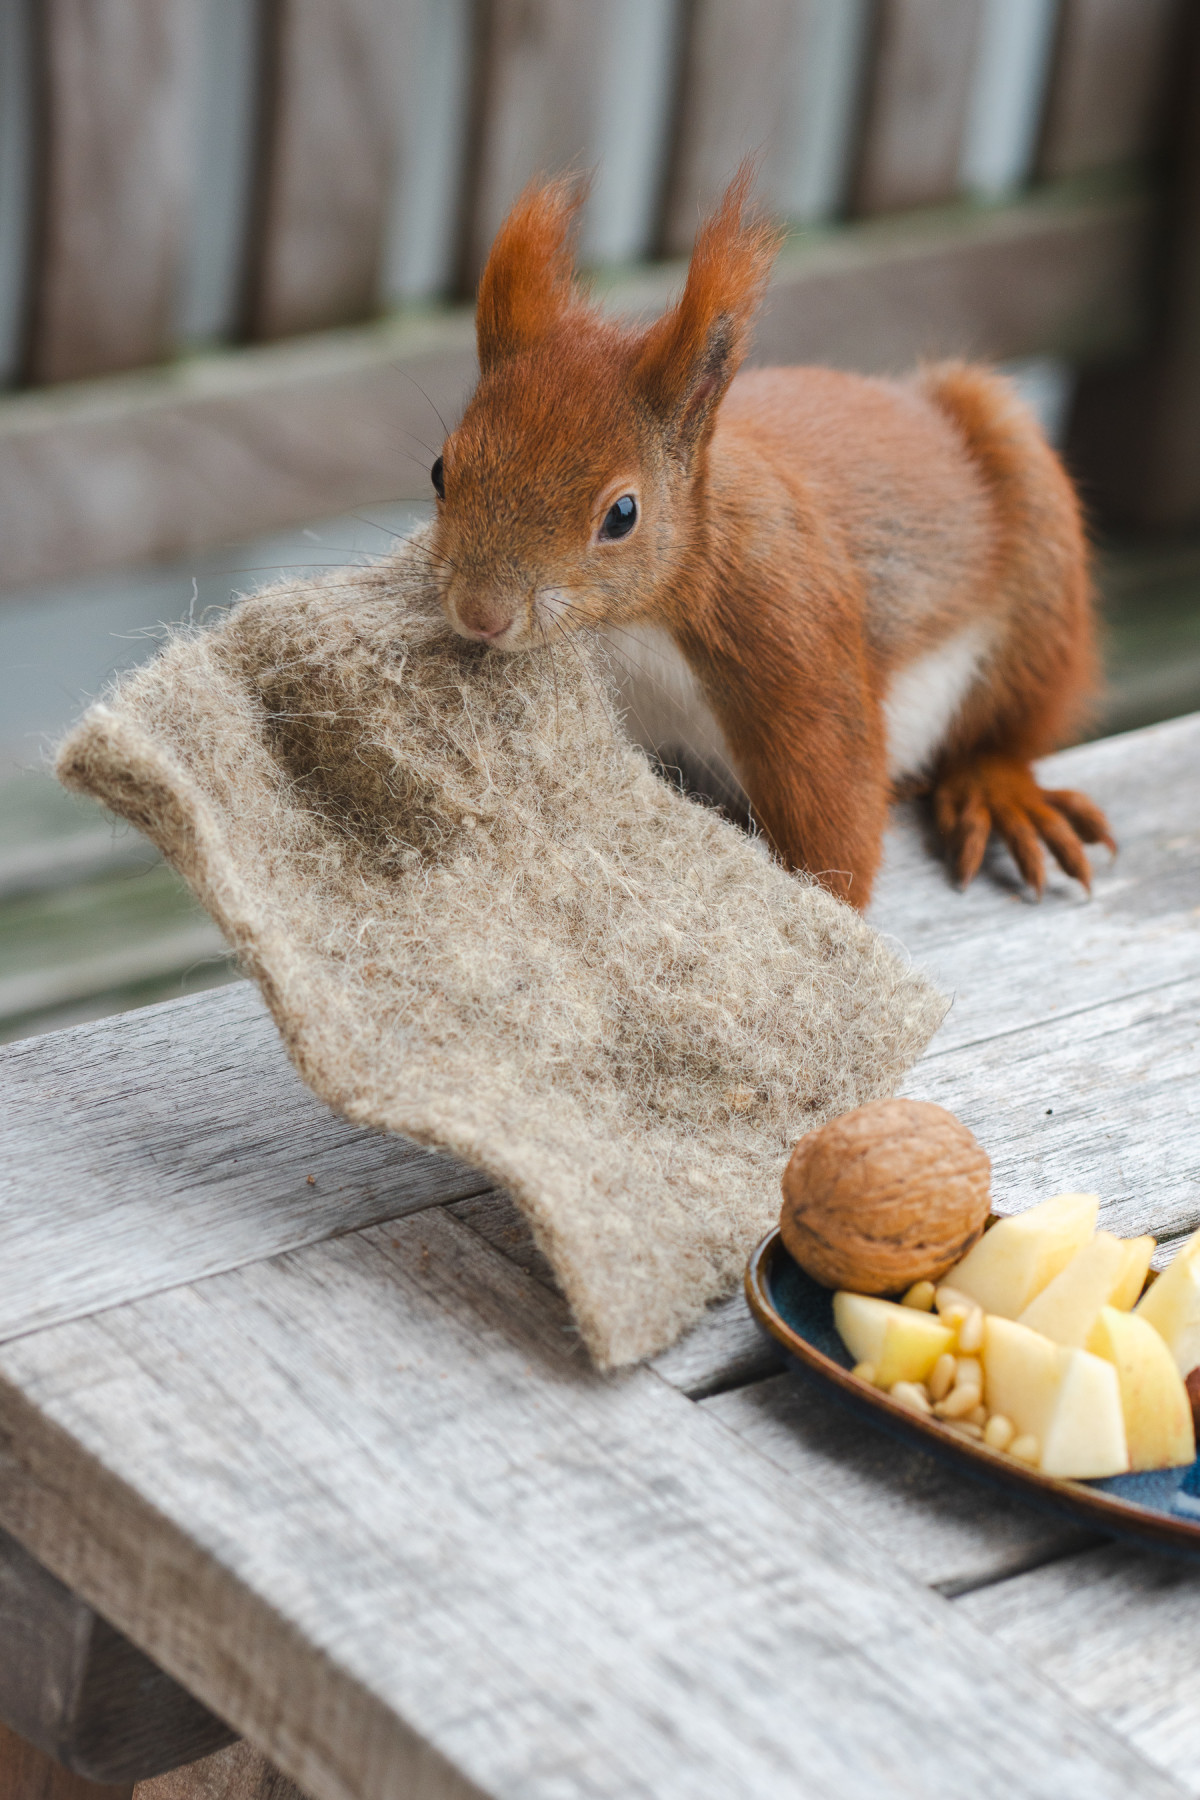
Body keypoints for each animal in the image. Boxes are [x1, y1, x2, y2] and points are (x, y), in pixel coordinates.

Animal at [429, 169, 1115, 914]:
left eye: (622, 514)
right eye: (439, 471)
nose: (481, 614)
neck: (628, 623)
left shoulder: (786, 630)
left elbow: (834, 819)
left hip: (1041, 579)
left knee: (1010, 727)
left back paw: (1000, 789)